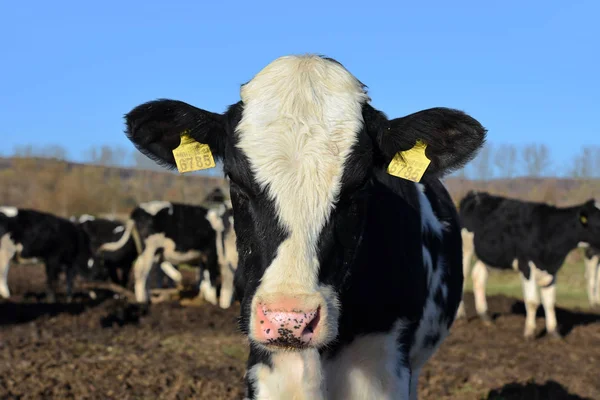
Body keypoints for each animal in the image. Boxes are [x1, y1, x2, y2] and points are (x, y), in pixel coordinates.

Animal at [458, 191, 600, 338]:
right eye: (598, 222)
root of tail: (476, 194)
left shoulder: (552, 269)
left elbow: (549, 302)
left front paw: (554, 333)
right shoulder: (526, 266)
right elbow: (532, 302)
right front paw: (529, 333)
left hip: (487, 255)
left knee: (478, 276)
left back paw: (486, 317)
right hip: (465, 247)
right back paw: (461, 316)